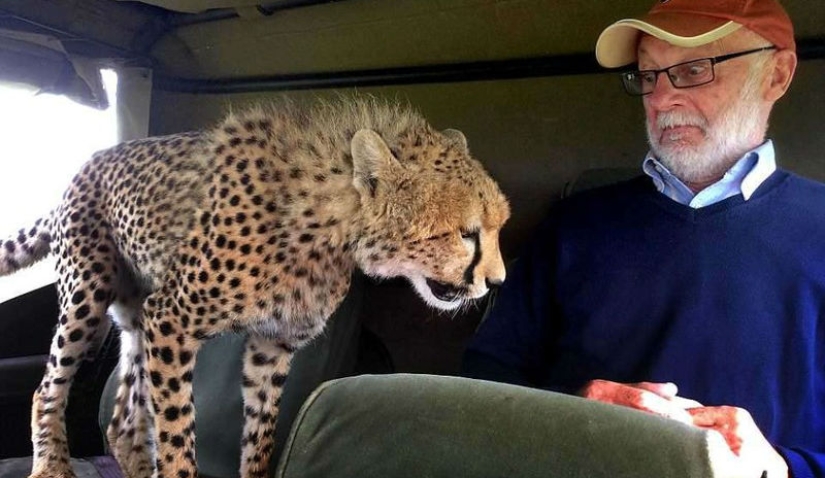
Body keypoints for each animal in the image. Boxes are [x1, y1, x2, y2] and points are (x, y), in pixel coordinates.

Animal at [0, 96, 510, 478]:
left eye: (498, 227)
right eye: (466, 233)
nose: (497, 281)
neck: (328, 226)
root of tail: (89, 161)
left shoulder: (272, 345)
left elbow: (260, 436)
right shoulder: (170, 319)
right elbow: (176, 431)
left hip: (134, 317)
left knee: (124, 420)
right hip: (88, 294)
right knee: (49, 388)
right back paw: (51, 467)